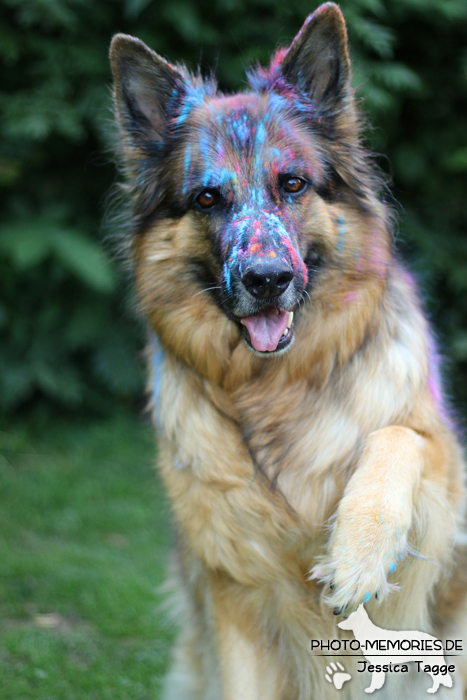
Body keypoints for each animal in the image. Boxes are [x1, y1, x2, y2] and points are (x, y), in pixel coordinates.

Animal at [109, 2, 467, 696]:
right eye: (207, 198)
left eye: (294, 184)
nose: (267, 279)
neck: (274, 389)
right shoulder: (236, 595)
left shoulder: (445, 489)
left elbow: (398, 436)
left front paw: (357, 553)